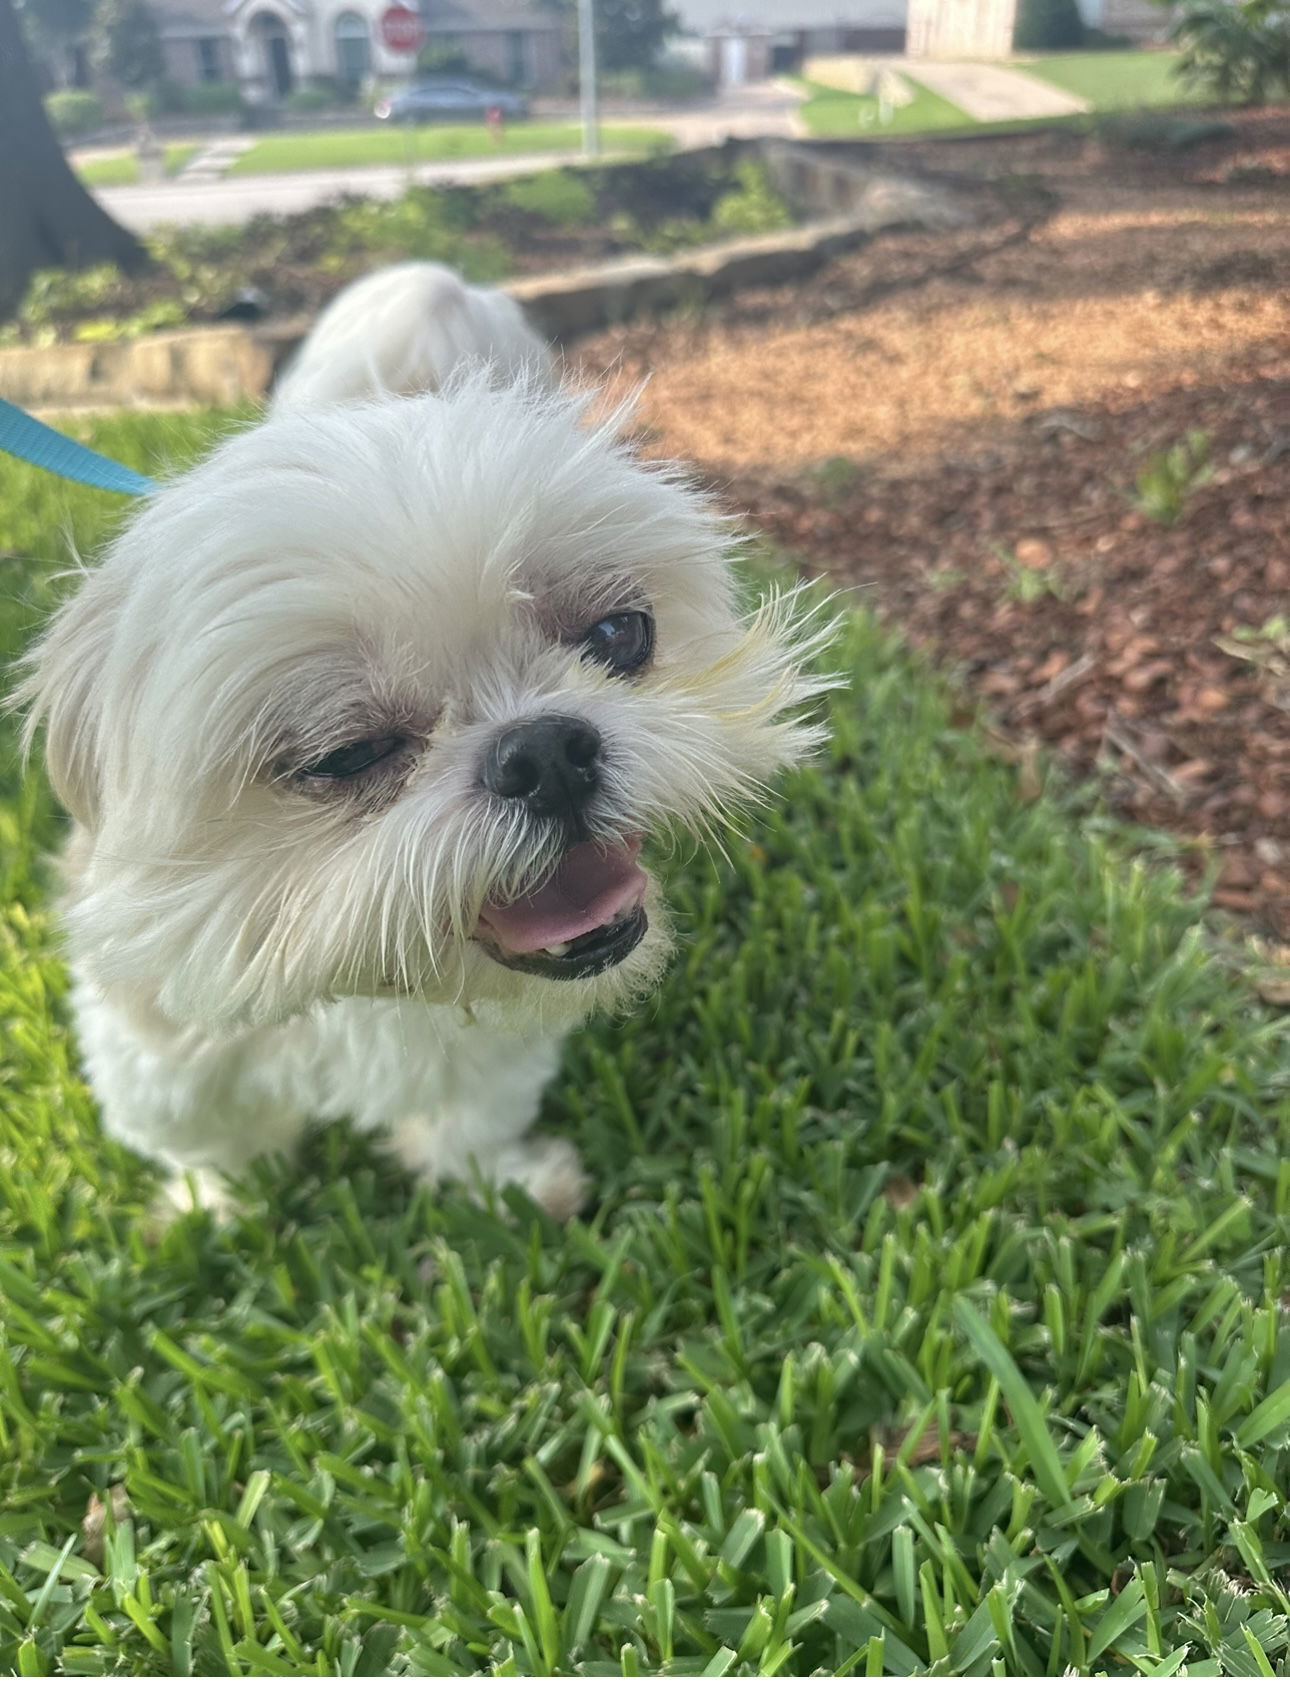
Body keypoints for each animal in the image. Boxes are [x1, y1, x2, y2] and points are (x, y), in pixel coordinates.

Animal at [25, 375, 829, 1220]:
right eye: (348, 754)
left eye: (619, 633)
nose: (544, 752)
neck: (362, 983)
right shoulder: (163, 1067)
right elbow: (213, 1151)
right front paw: (215, 1211)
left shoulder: (490, 1057)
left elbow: (471, 1124)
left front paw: (505, 1187)